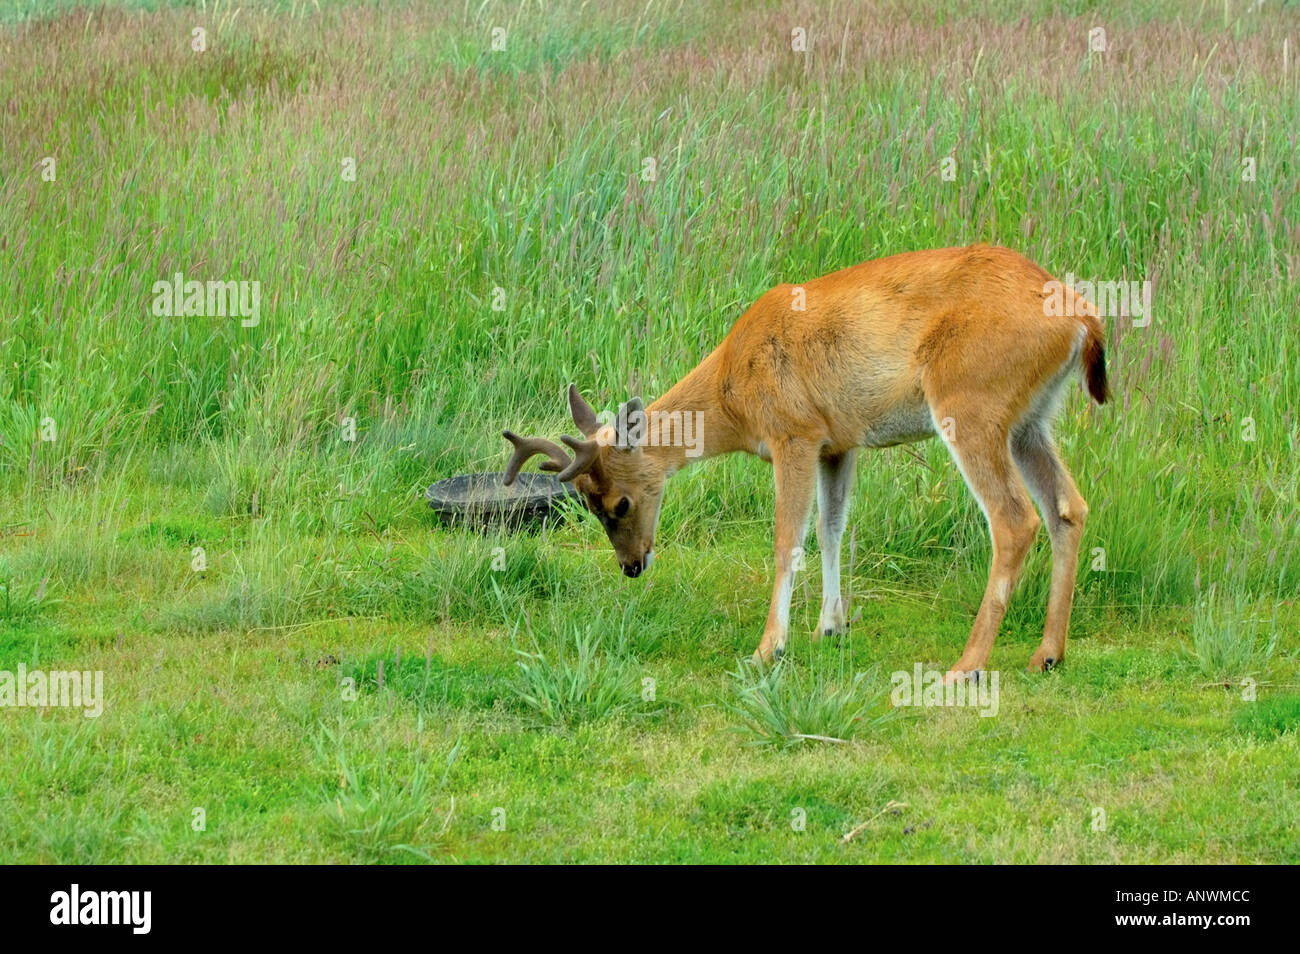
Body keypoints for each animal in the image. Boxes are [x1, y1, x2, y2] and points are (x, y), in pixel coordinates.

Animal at [499, 246, 1107, 681]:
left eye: (618, 503)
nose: (631, 566)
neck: (733, 393)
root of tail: (1084, 321)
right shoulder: (837, 443)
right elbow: (833, 530)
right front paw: (829, 628)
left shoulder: (794, 432)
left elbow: (787, 537)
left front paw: (768, 648)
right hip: (1030, 420)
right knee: (1068, 508)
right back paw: (1047, 654)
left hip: (970, 403)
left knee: (1015, 520)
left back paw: (966, 666)